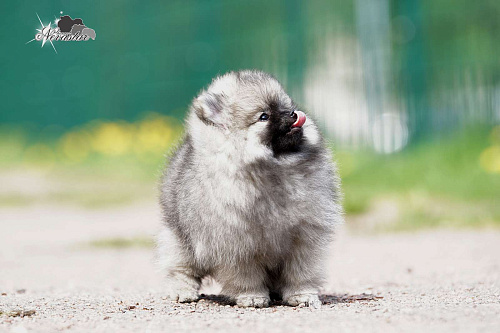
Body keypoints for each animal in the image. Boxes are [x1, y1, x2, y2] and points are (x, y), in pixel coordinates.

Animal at [158, 69, 342, 306]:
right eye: (263, 116)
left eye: (285, 106)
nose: (293, 114)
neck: (276, 169)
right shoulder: (238, 245)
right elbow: (246, 275)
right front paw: (252, 296)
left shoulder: (304, 238)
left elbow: (301, 271)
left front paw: (302, 295)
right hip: (180, 241)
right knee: (181, 270)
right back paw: (183, 291)